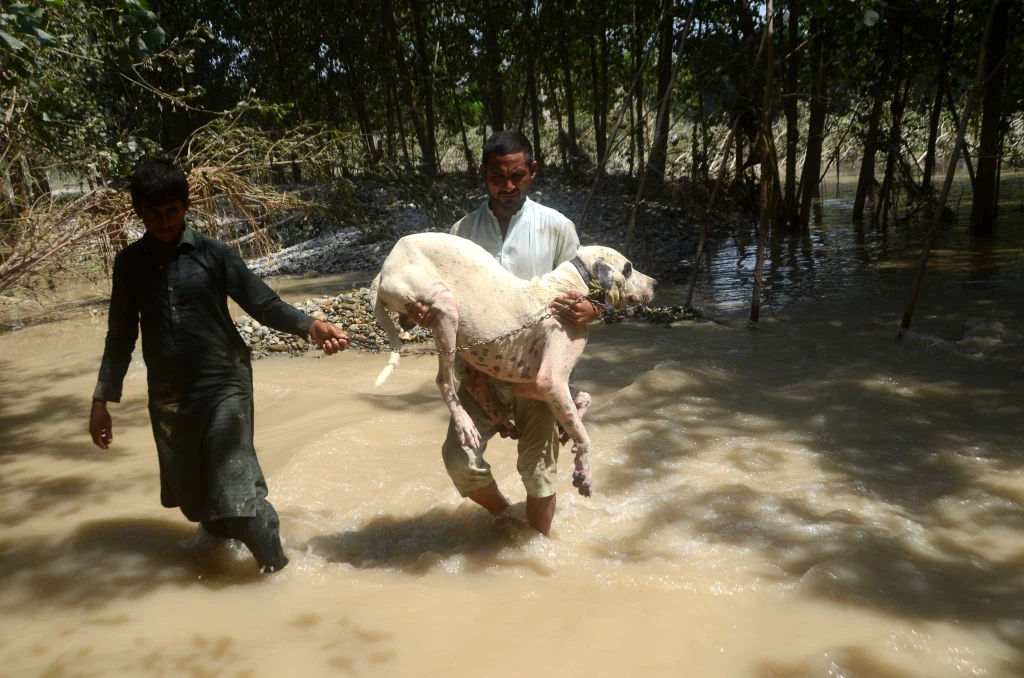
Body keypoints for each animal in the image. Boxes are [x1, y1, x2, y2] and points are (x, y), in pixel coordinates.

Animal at [370, 236, 655, 497]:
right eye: (628, 268)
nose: (656, 283)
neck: (573, 284)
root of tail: (385, 267)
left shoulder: (533, 385)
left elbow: (585, 398)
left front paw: (568, 432)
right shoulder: (550, 381)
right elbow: (585, 437)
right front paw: (584, 473)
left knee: (473, 383)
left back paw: (501, 420)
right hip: (444, 305)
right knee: (444, 381)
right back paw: (465, 424)